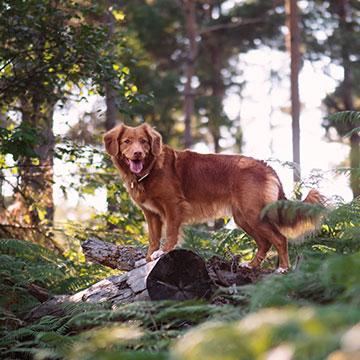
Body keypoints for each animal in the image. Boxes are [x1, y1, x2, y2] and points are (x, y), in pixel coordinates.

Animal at [103, 122, 324, 272]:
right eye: (127, 142)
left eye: (144, 141)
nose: (138, 154)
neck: (149, 170)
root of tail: (266, 166)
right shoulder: (151, 214)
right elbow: (152, 238)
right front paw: (149, 258)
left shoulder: (173, 206)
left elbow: (171, 233)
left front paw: (164, 252)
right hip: (243, 218)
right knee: (265, 243)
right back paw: (251, 265)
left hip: (253, 213)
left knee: (279, 239)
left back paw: (283, 268)